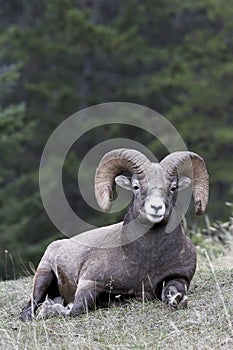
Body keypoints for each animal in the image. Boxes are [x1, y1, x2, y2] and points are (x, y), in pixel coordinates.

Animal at [19, 148, 209, 320]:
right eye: (136, 186)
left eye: (173, 187)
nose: (156, 207)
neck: (146, 260)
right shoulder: (89, 283)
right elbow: (78, 308)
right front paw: (52, 310)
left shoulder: (179, 277)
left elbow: (172, 291)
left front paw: (177, 299)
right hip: (44, 275)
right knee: (31, 305)